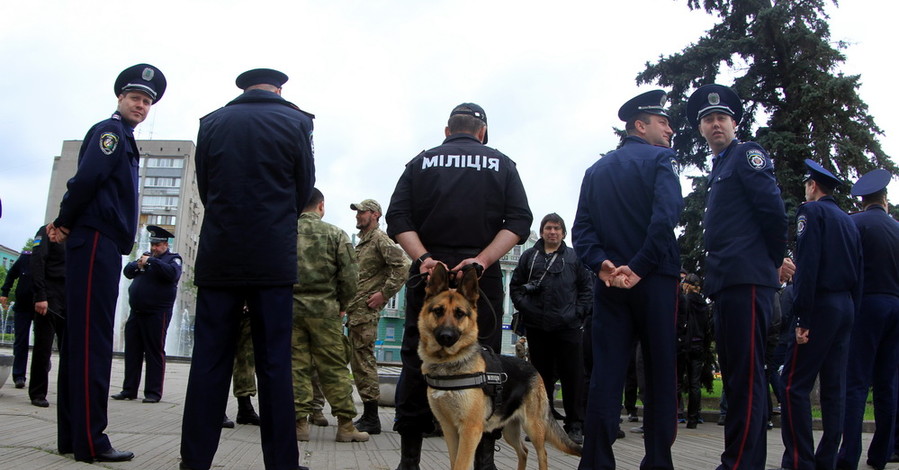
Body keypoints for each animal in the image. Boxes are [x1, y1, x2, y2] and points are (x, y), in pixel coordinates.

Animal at [416, 264, 580, 470]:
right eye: (438, 311)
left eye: (459, 314)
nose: (446, 336)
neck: (447, 363)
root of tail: (531, 366)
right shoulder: (450, 429)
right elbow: (455, 463)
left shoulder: (470, 430)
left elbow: (461, 464)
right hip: (509, 428)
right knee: (523, 451)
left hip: (533, 427)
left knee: (542, 454)